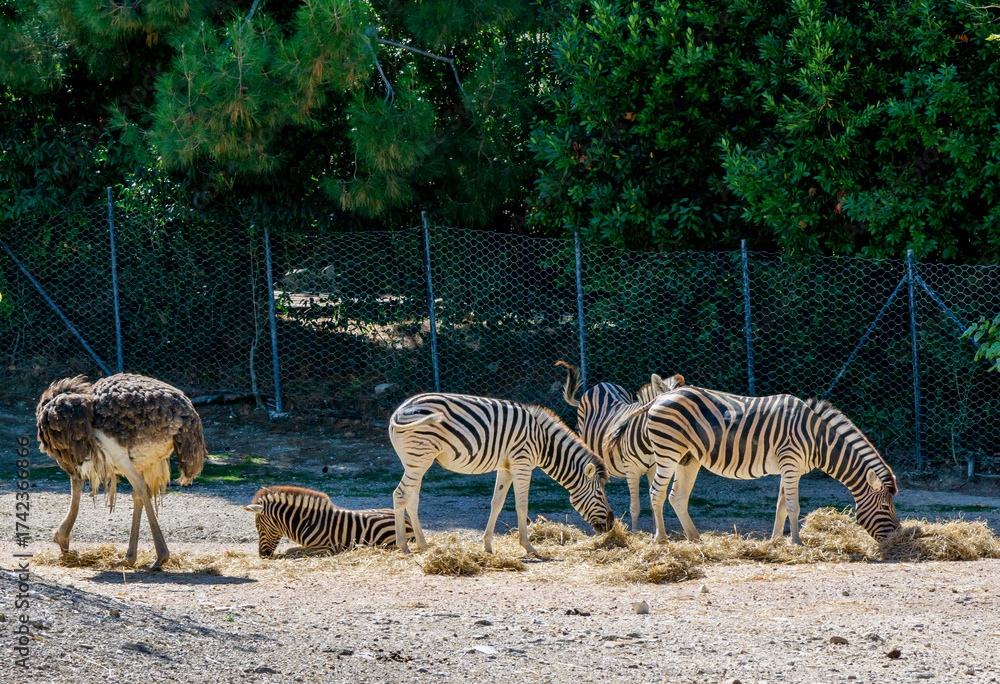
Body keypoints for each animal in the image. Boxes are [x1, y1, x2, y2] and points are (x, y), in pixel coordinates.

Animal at [242, 486, 413, 557]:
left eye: (258, 527)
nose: (262, 555)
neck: (307, 522)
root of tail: (407, 520)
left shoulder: (325, 548)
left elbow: (296, 550)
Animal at [389, 392, 615, 556]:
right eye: (600, 494)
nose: (612, 524)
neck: (544, 443)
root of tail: (399, 411)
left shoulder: (506, 467)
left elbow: (496, 504)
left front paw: (488, 546)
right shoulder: (522, 463)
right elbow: (522, 506)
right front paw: (528, 546)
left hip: (416, 461)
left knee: (412, 500)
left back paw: (423, 544)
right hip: (419, 459)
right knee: (400, 495)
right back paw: (404, 547)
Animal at [555, 360, 685, 530]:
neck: (648, 444)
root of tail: (600, 384)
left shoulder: (653, 468)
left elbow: (653, 501)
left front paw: (656, 530)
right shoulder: (631, 470)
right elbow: (635, 506)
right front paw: (636, 533)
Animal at [608, 386, 900, 544]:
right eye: (886, 507)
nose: (898, 537)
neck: (818, 440)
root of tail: (659, 397)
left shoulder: (789, 467)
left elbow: (781, 506)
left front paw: (776, 540)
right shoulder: (791, 461)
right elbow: (793, 506)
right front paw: (797, 542)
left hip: (687, 457)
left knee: (676, 497)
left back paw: (695, 538)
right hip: (667, 451)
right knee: (656, 493)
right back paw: (661, 538)